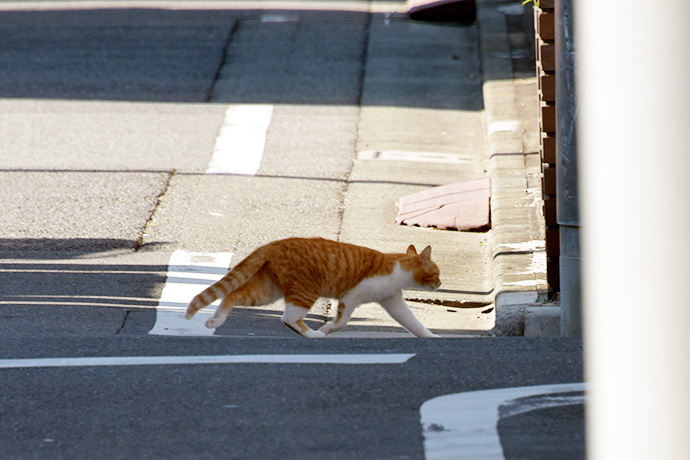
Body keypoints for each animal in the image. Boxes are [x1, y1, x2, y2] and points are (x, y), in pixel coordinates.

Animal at [184, 237, 440, 338]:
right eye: (437, 273)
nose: (440, 284)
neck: (397, 269)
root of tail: (274, 244)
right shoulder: (351, 295)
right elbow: (342, 321)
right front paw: (327, 329)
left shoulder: (393, 301)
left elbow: (413, 323)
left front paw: (431, 336)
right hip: (307, 290)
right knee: (288, 317)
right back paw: (313, 334)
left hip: (267, 291)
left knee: (233, 295)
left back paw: (215, 321)